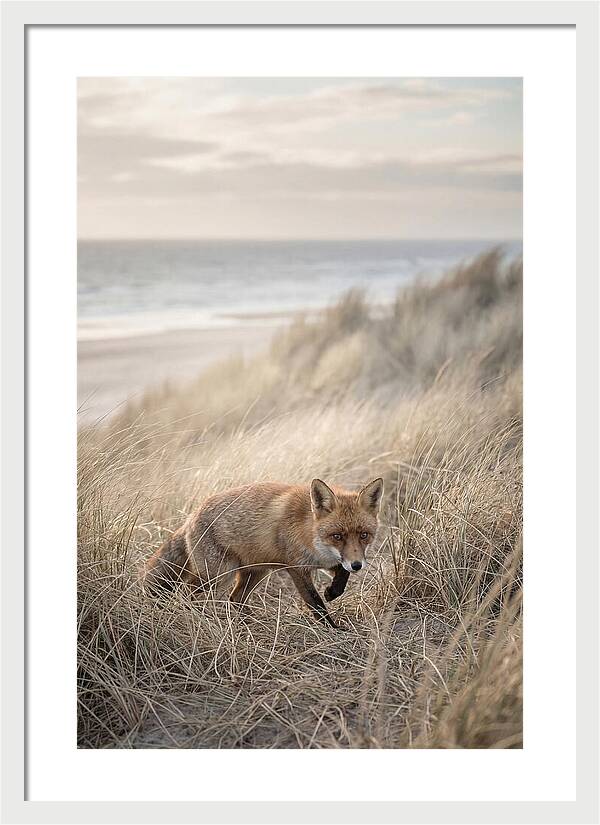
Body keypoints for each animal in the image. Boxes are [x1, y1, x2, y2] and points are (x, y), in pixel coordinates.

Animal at [144, 476, 384, 628]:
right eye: (337, 536)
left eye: (364, 535)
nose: (357, 566)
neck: (310, 532)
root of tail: (191, 516)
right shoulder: (296, 568)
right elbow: (315, 603)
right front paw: (333, 629)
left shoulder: (329, 561)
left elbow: (341, 576)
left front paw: (332, 592)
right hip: (218, 576)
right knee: (187, 593)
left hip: (255, 572)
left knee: (235, 598)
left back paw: (249, 623)